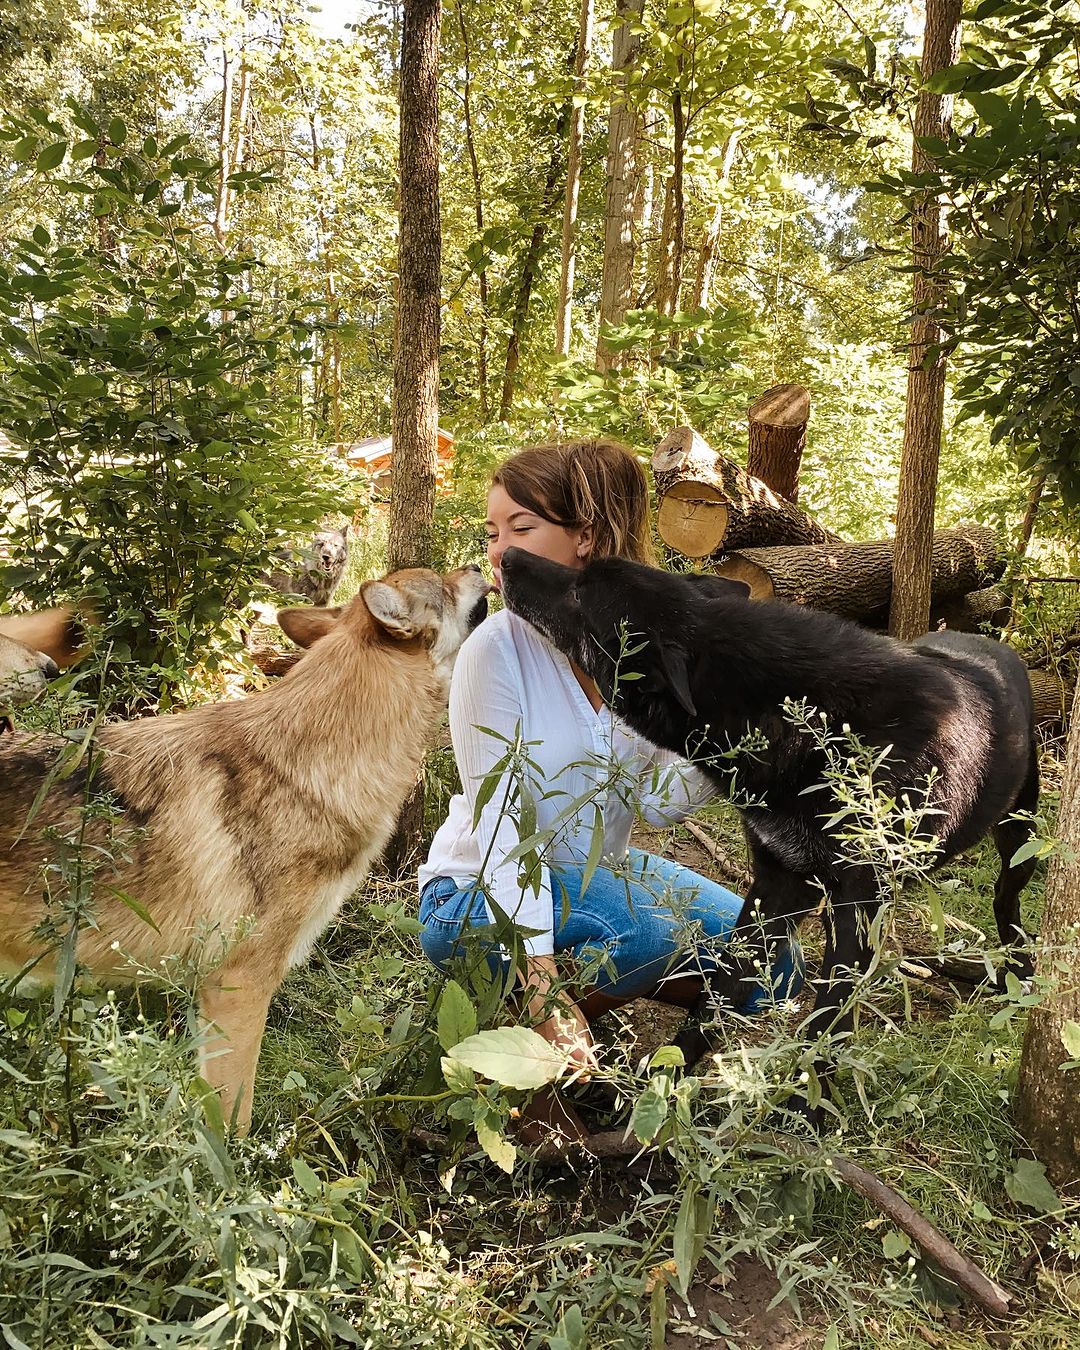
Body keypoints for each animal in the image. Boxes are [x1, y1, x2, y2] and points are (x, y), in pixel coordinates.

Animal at [502, 545, 1042, 1117]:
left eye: (581, 592)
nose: (508, 554)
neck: (809, 720)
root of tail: (996, 647)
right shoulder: (777, 884)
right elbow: (719, 992)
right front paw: (660, 1090)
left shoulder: (856, 905)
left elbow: (827, 1019)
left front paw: (809, 1111)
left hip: (1019, 840)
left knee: (1006, 900)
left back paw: (1018, 973)